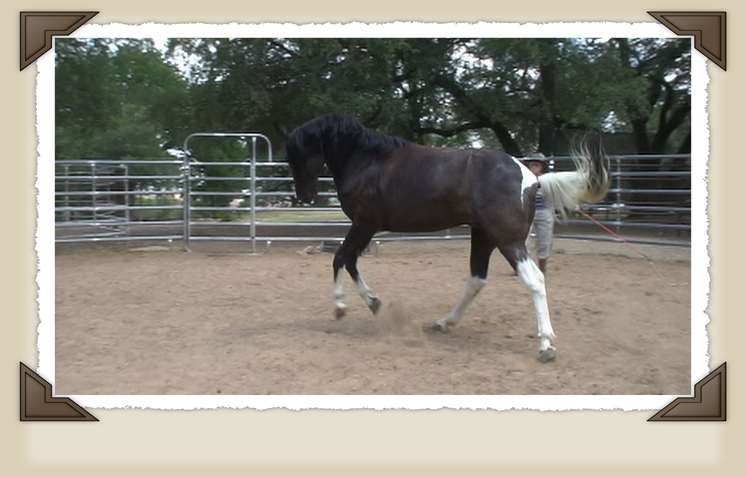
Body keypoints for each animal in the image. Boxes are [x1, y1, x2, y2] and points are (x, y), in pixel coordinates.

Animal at [284, 115, 604, 360]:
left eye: (296, 156)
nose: (303, 197)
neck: (369, 160)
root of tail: (532, 179)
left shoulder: (364, 224)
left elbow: (341, 258)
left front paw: (341, 307)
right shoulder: (366, 227)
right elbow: (349, 261)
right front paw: (374, 303)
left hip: (507, 240)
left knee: (534, 280)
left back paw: (546, 345)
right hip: (483, 236)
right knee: (476, 279)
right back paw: (443, 323)